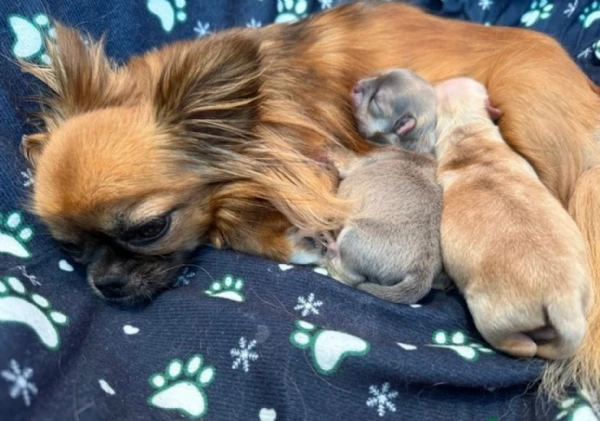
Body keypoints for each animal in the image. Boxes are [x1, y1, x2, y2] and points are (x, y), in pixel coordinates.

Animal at [324, 144, 446, 302]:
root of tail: (423, 272)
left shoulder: (360, 162)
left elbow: (346, 161)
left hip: (350, 236)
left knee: (352, 277)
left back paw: (331, 251)